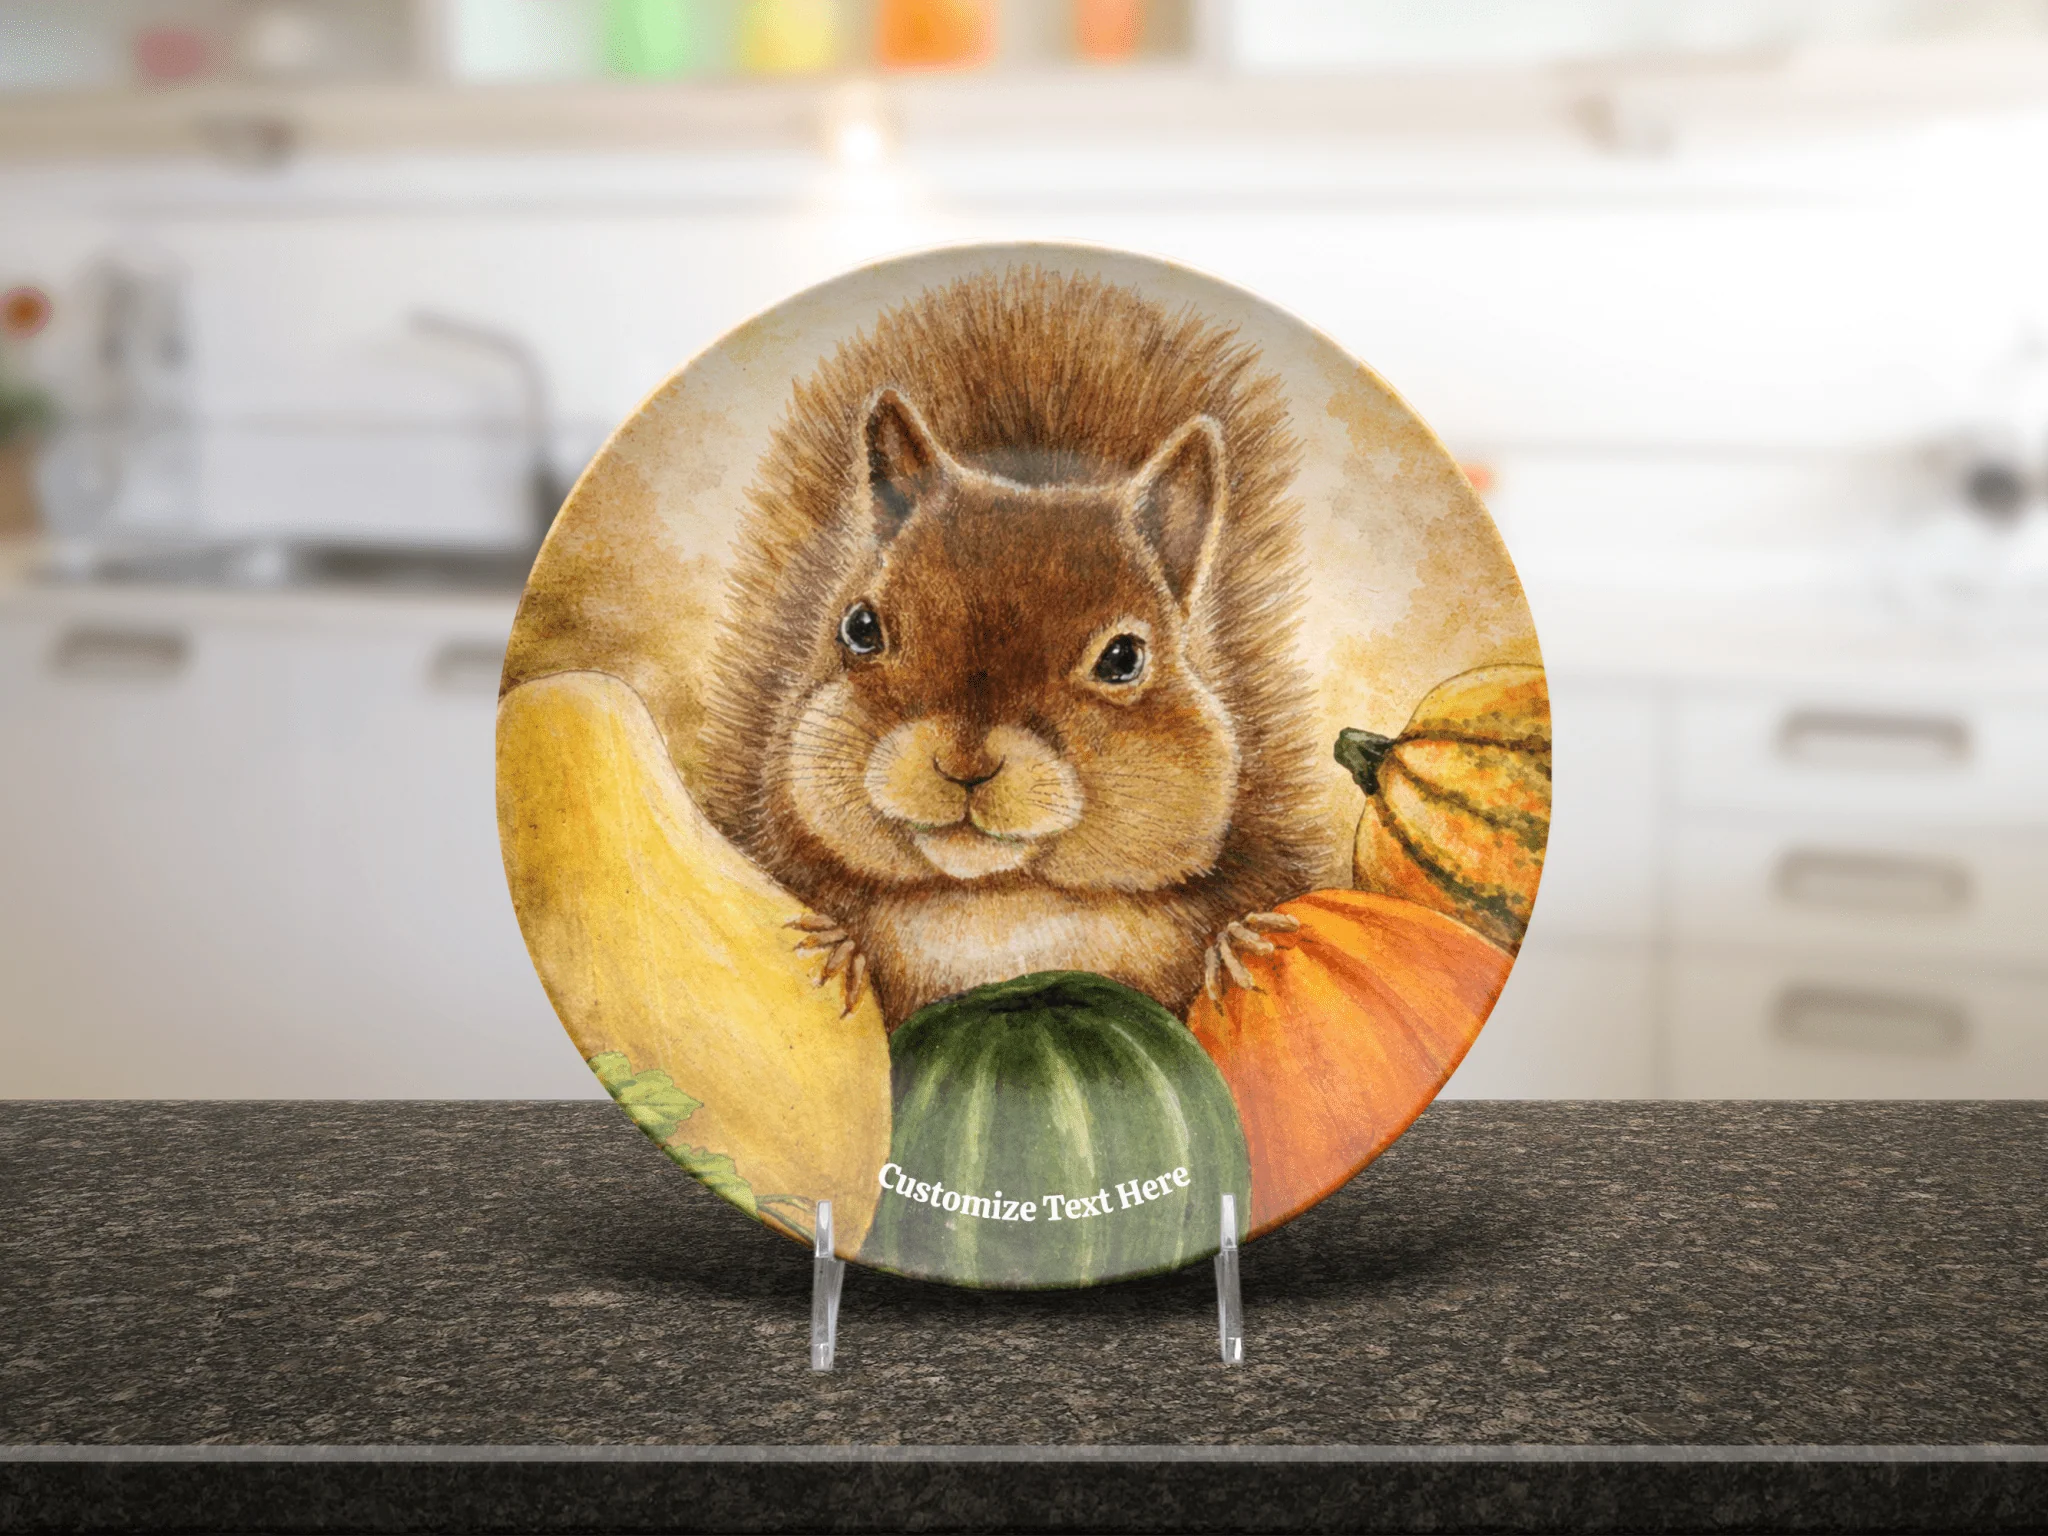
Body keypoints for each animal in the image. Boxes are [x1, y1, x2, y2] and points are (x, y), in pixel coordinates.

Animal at [697, 265, 1327, 1029]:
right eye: (860, 627)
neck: (1000, 909)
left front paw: (1239, 942)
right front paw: (840, 947)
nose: (963, 765)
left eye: (1124, 657)